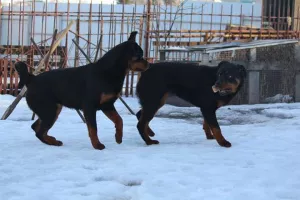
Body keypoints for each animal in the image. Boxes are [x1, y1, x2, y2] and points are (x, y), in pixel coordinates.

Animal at [15, 30, 149, 150]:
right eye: (139, 56)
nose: (148, 64)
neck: (109, 72)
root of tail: (31, 79)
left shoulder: (107, 105)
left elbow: (119, 120)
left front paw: (118, 137)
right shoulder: (90, 107)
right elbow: (93, 128)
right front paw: (97, 145)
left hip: (52, 109)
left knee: (36, 127)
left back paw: (52, 140)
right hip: (49, 110)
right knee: (39, 131)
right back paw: (53, 142)